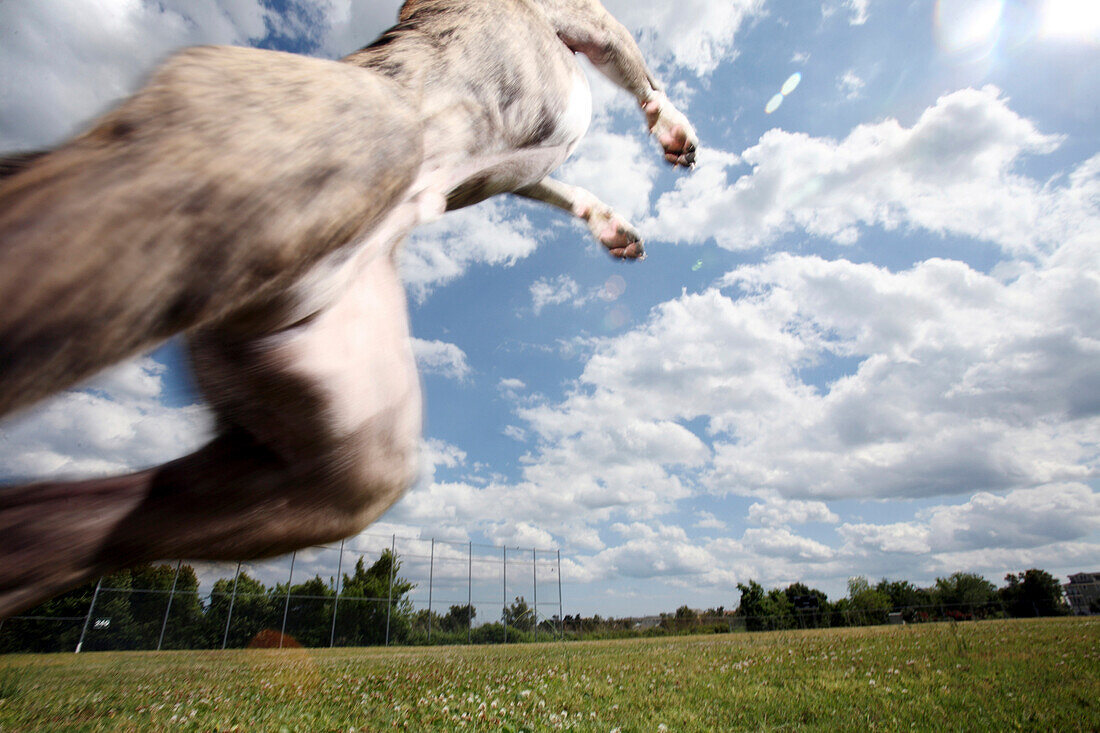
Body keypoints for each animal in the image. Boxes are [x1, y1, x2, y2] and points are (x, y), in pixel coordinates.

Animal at [0, 0, 695, 616]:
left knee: (52, 531)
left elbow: (555, 183)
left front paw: (612, 223)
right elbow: (635, 65)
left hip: (341, 467)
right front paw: (672, 128)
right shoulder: (580, 16)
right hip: (274, 168)